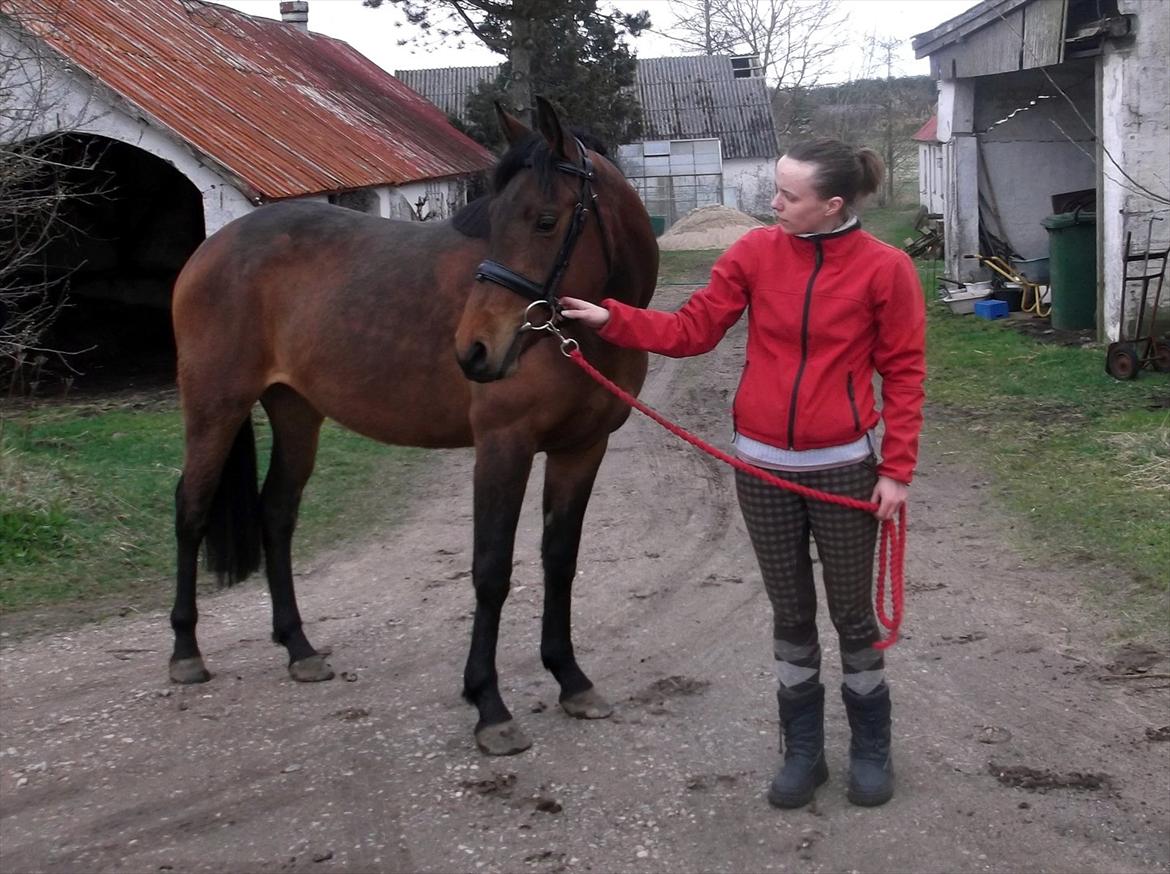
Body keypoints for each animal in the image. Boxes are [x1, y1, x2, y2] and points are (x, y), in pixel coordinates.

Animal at [167, 94, 659, 753]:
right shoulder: (503, 447)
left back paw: (299, 649)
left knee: (277, 514)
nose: (475, 351)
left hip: (296, 411)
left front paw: (571, 680)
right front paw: (489, 705)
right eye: (497, 219)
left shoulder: (582, 449)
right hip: (214, 407)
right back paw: (186, 653)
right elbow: (492, 571)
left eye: (546, 220)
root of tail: (212, 248)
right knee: (191, 511)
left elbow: (560, 561)